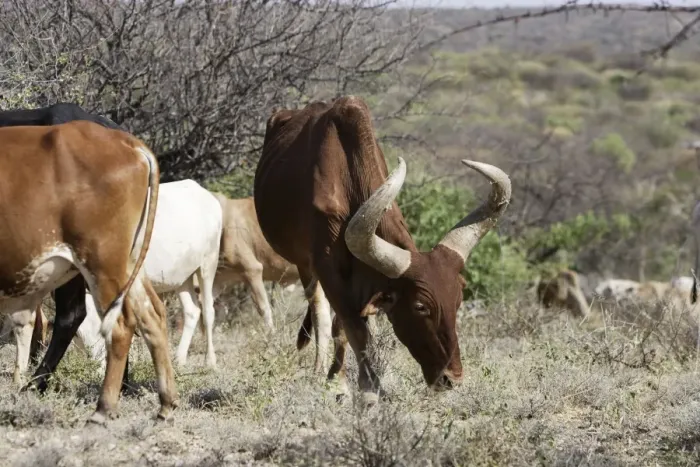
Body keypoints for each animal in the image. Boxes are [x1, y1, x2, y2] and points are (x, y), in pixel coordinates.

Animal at [0, 121, 177, 423]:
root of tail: (127, 142)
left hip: (102, 263)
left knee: (119, 326)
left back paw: (103, 408)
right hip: (128, 265)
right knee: (152, 315)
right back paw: (166, 404)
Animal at [254, 97, 511, 400]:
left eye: (458, 300)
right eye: (420, 306)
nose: (452, 379)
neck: (348, 176)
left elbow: (351, 329)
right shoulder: (328, 270)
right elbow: (349, 329)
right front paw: (350, 385)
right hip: (305, 267)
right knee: (319, 311)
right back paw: (319, 370)